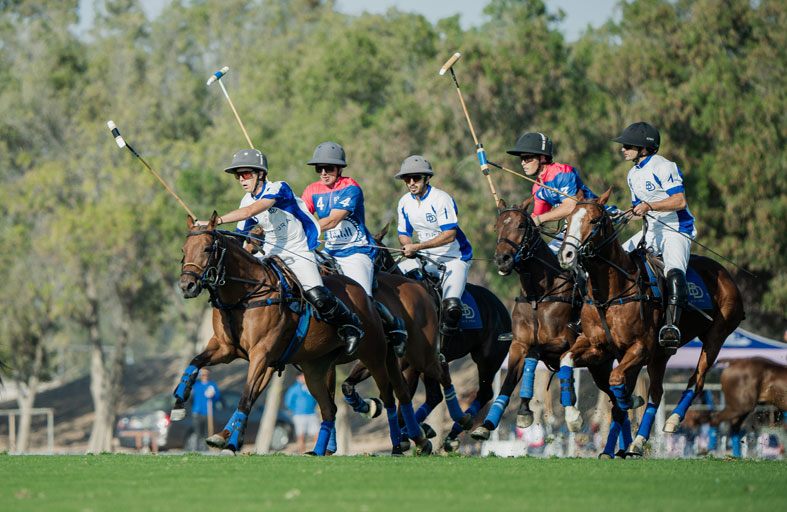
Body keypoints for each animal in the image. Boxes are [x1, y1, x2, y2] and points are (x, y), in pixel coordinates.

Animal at [173, 214, 434, 454]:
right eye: (184, 250)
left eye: (207, 248)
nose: (187, 286)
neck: (246, 295)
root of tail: (364, 294)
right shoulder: (226, 349)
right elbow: (195, 362)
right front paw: (179, 402)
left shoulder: (262, 354)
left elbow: (246, 396)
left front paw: (231, 443)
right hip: (318, 367)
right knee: (334, 407)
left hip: (376, 355)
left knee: (391, 396)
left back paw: (399, 442)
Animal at [468, 198, 584, 442]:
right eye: (496, 227)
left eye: (521, 225)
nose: (502, 260)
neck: (536, 297)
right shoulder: (518, 344)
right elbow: (509, 381)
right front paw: (487, 425)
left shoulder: (563, 342)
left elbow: (534, 353)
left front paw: (524, 411)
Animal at [556, 191, 744, 456]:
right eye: (568, 218)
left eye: (593, 221)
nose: (566, 255)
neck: (611, 294)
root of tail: (725, 274)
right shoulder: (598, 347)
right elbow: (566, 360)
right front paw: (574, 417)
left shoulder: (640, 348)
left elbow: (616, 381)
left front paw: (629, 400)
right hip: (660, 355)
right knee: (656, 392)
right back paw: (632, 444)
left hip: (716, 336)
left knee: (696, 380)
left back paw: (671, 421)